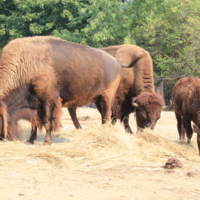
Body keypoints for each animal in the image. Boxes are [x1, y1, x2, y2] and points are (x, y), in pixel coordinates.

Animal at [0, 35, 137, 144]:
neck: (26, 65)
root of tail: (116, 61)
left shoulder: (49, 100)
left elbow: (47, 121)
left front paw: (46, 142)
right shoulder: (36, 105)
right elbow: (35, 123)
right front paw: (30, 140)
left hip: (107, 95)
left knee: (107, 115)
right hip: (98, 99)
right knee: (104, 116)